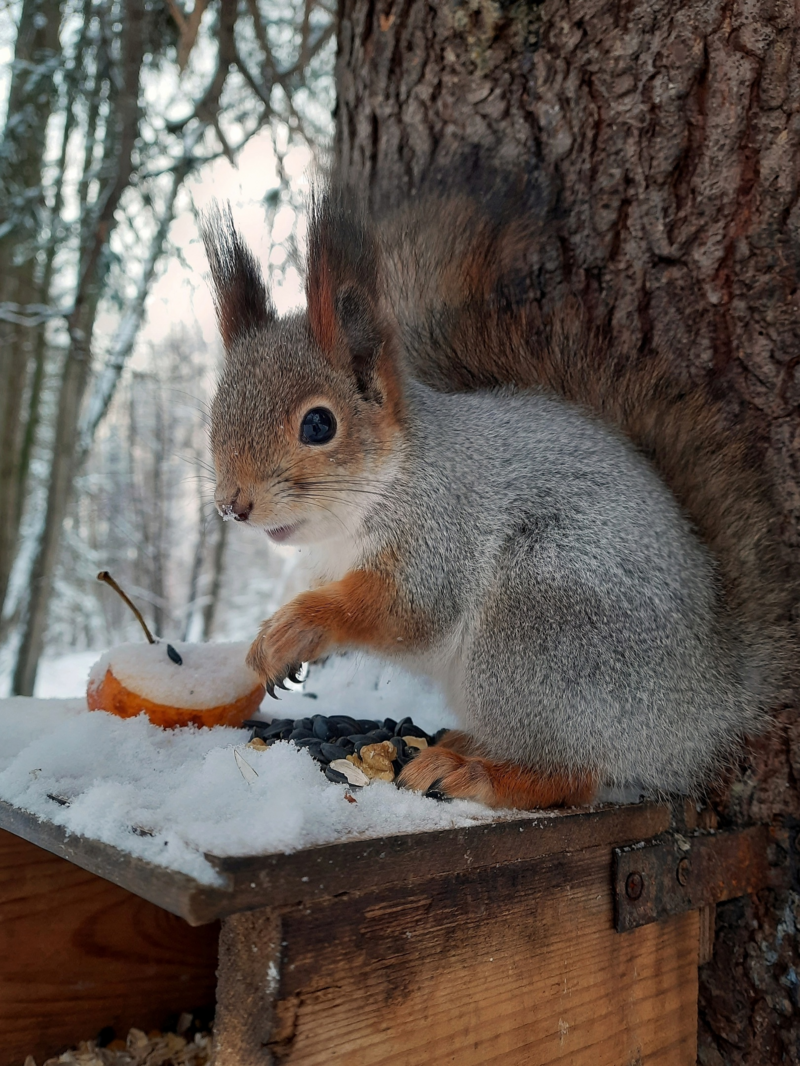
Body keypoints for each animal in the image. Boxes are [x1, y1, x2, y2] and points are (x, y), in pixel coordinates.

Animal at [201, 185, 797, 805]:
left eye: (319, 425)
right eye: (215, 413)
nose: (233, 505)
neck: (386, 485)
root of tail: (708, 706)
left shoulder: (441, 531)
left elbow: (404, 610)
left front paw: (293, 628)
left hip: (540, 626)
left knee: (572, 774)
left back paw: (474, 772)